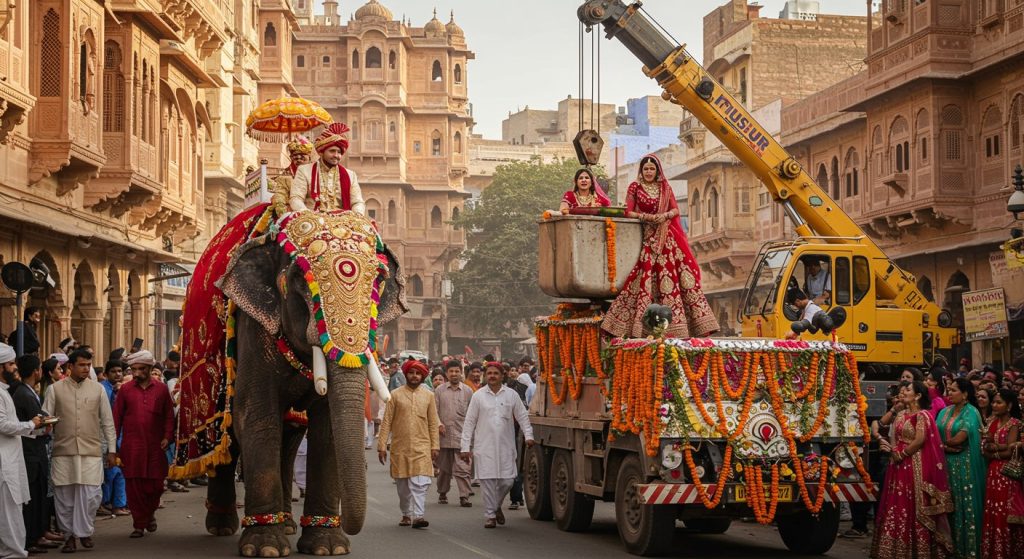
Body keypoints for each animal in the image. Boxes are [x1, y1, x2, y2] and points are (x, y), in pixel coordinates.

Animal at [199, 210, 406, 557]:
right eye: (299, 280)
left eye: (379, 279)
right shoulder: (254, 325)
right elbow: (256, 415)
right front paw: (264, 548)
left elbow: (328, 426)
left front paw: (328, 547)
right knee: (225, 436)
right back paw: (222, 526)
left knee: (289, 436)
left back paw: (285, 523)